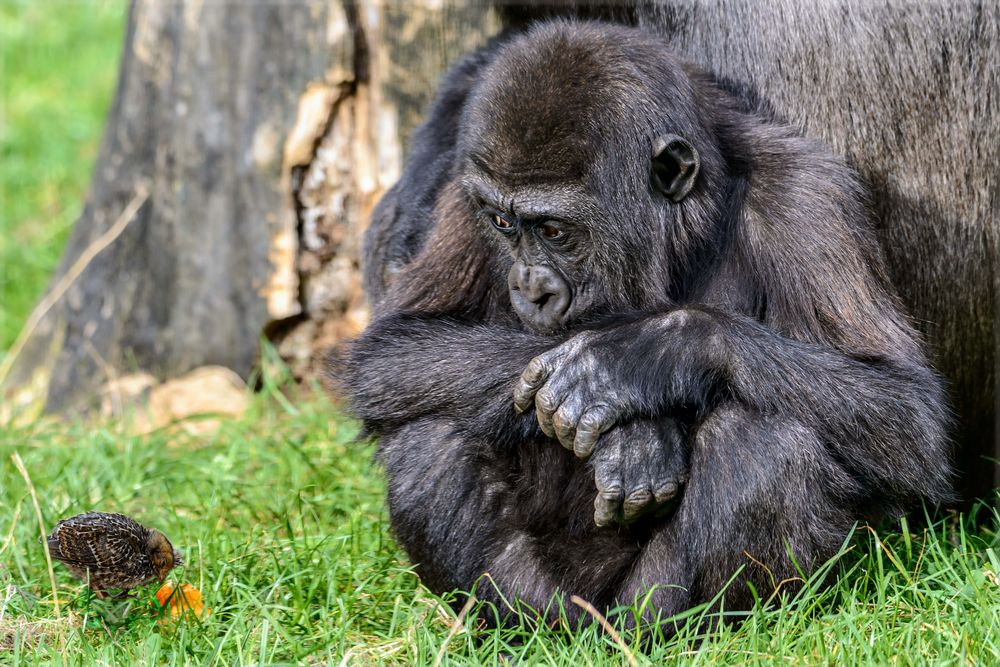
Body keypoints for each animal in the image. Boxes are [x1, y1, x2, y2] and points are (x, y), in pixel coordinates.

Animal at [342, 22, 952, 632]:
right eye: (501, 223)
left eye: (556, 231)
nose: (530, 289)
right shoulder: (459, 194)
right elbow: (392, 351)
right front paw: (635, 435)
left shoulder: (808, 197)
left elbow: (903, 406)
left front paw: (643, 357)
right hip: (561, 602)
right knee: (431, 434)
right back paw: (512, 625)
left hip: (637, 601)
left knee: (766, 438)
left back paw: (682, 629)